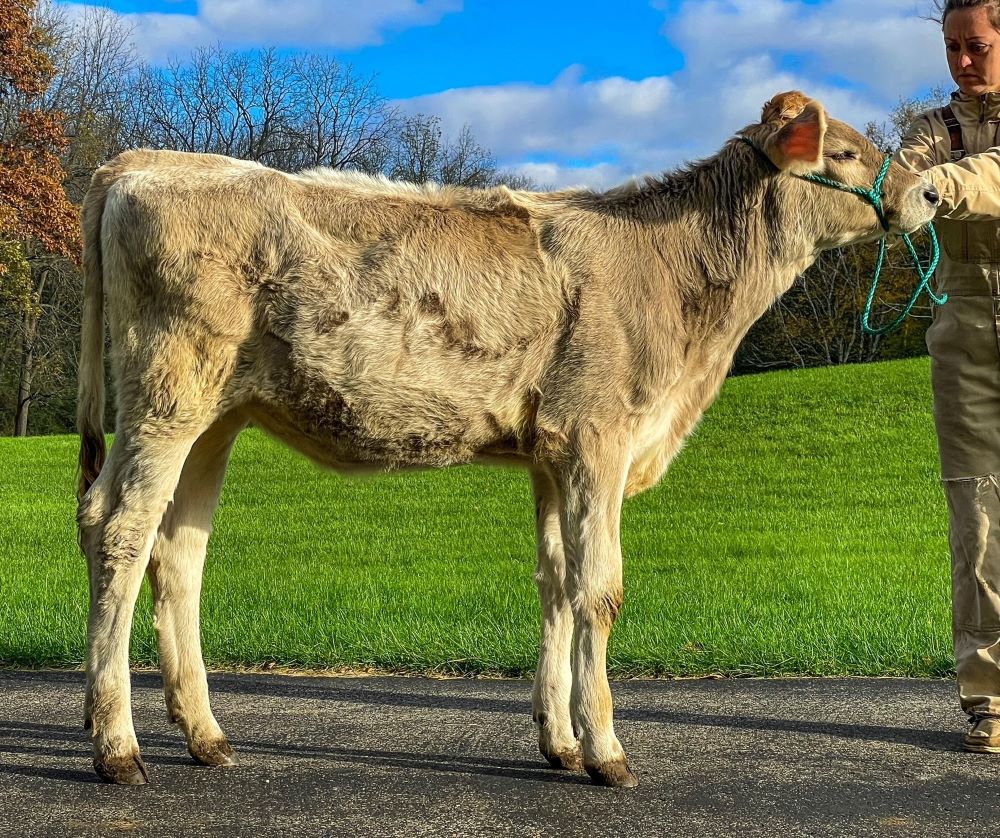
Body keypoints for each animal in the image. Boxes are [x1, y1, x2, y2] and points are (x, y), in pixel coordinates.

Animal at [76, 91, 939, 787]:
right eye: (845, 152)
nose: (929, 189)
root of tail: (141, 161)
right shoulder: (597, 437)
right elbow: (601, 590)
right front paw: (607, 751)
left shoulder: (551, 453)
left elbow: (556, 583)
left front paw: (560, 741)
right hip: (168, 391)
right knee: (120, 531)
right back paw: (117, 746)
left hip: (217, 415)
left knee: (174, 550)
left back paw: (204, 735)